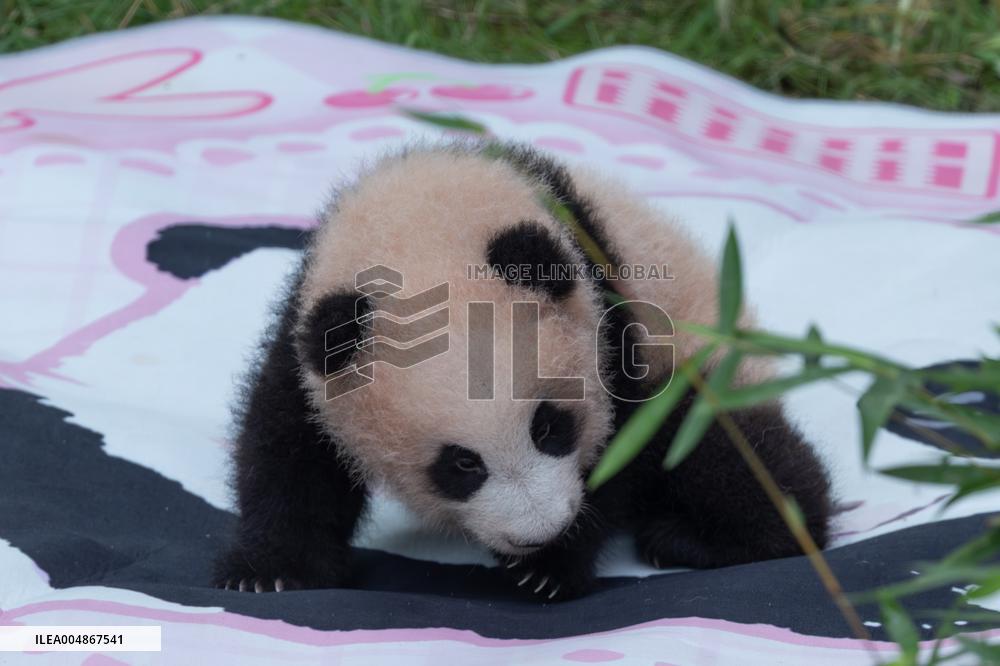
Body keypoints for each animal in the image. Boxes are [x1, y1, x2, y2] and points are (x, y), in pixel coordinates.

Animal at [213, 141, 832, 600]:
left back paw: (695, 538)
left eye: (549, 426)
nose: (541, 531)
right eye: (461, 464)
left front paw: (550, 569)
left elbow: (623, 445)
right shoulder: (311, 339)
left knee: (736, 460)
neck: (420, 218)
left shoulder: (610, 310)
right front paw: (271, 571)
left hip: (707, 366)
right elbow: (289, 451)